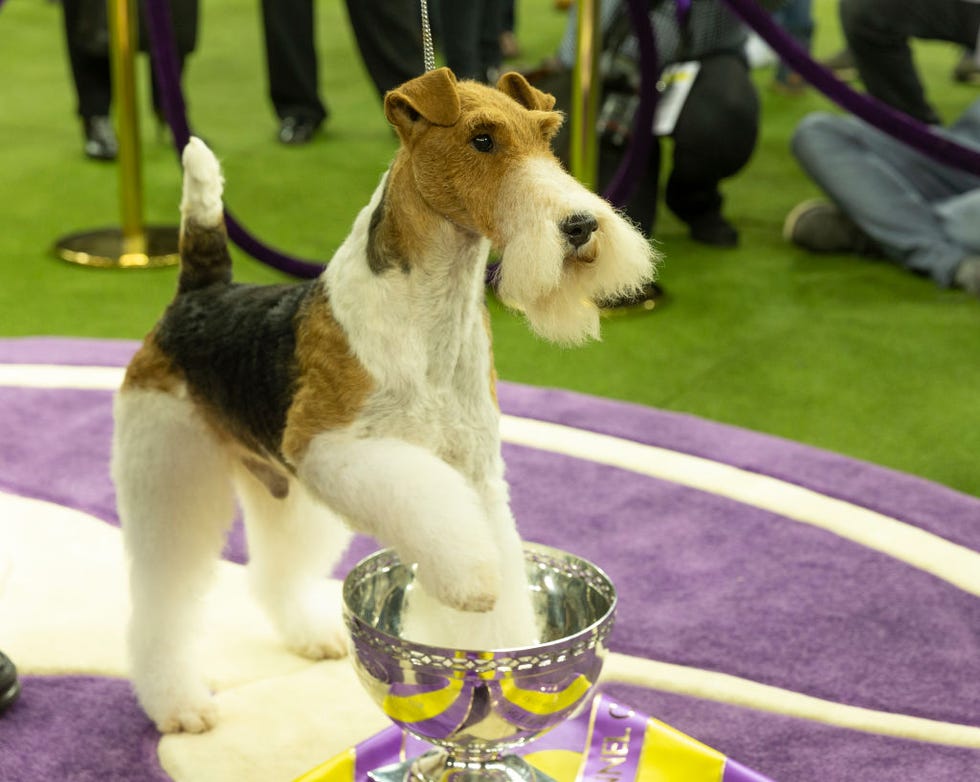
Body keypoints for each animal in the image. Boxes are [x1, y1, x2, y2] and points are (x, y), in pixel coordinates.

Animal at [113, 67, 660, 736]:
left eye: (546, 136)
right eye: (482, 139)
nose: (582, 227)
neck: (430, 318)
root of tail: (199, 291)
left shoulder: (476, 472)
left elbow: (496, 568)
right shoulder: (331, 448)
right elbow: (450, 532)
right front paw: (474, 581)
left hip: (284, 491)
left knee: (275, 572)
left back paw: (311, 634)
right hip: (171, 472)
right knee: (161, 600)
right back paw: (182, 705)